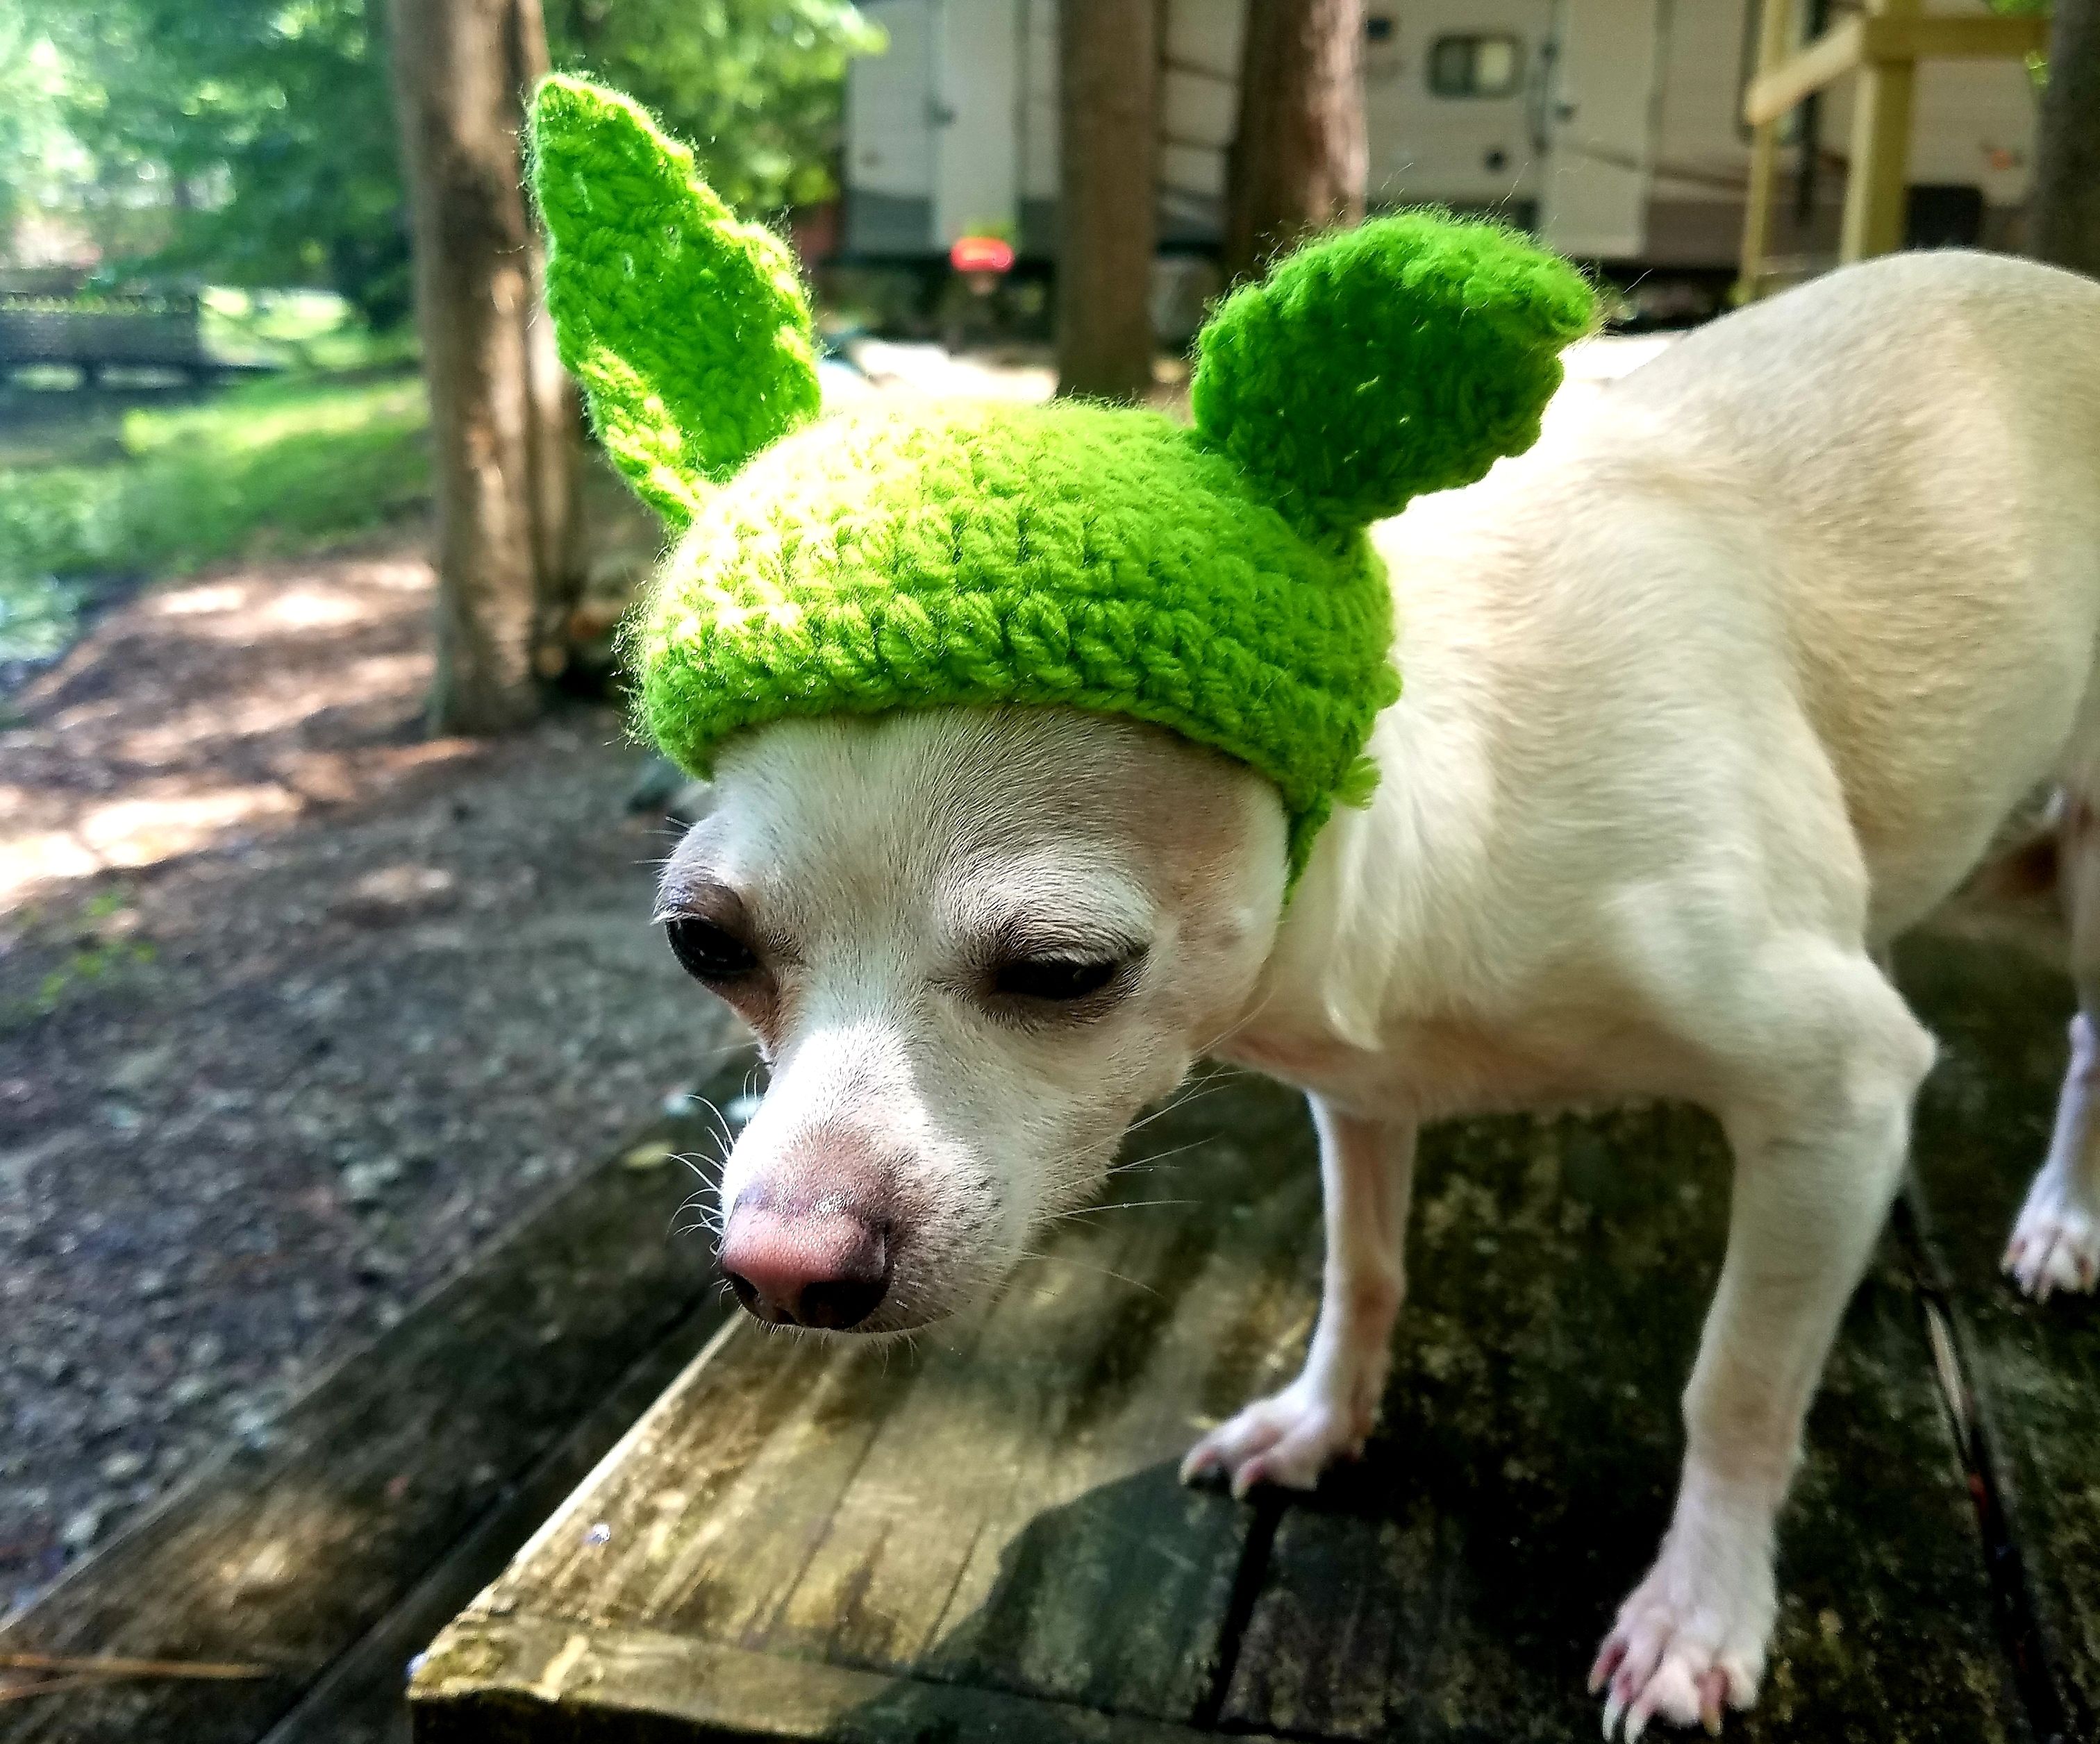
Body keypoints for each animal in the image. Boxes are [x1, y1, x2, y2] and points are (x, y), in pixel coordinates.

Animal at [655, 251, 2100, 1737]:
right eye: (703, 946)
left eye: (1065, 973)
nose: (779, 1268)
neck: (1436, 808)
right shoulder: (1360, 1094)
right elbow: (1362, 1265)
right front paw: (1320, 1420)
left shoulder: (1840, 1081)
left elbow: (1737, 1386)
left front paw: (1699, 1607)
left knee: (2085, 1040)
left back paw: (2060, 1220)